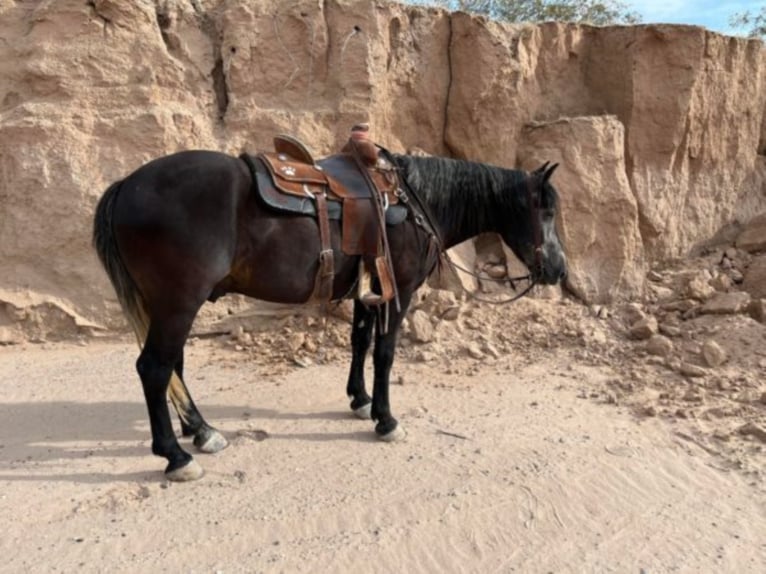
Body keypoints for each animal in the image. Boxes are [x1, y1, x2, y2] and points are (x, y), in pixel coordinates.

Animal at [93, 148, 568, 482]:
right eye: (545, 211)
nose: (559, 269)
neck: (413, 203)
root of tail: (127, 185)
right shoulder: (400, 293)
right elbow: (385, 354)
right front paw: (386, 419)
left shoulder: (367, 291)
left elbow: (359, 343)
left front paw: (360, 400)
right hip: (178, 303)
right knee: (155, 368)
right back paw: (176, 456)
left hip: (168, 306)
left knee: (173, 366)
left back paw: (202, 431)